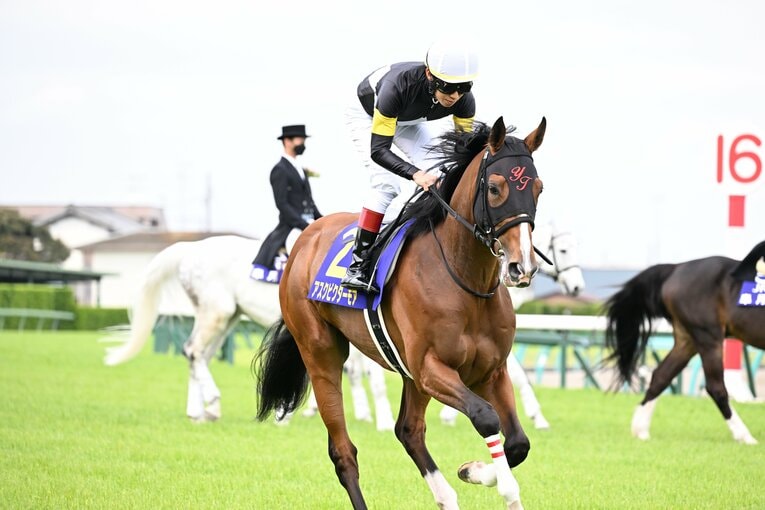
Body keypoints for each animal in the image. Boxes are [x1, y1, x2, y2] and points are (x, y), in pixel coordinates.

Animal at [102, 234, 394, 430]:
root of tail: (193, 248)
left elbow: (352, 372)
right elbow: (369, 376)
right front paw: (383, 421)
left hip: (225, 318)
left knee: (199, 357)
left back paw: (199, 412)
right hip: (216, 313)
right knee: (193, 351)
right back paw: (211, 402)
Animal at [254, 116, 547, 510]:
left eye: (539, 188)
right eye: (496, 188)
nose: (522, 267)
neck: (463, 277)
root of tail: (305, 239)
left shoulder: (490, 370)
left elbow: (518, 443)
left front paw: (473, 470)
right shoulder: (430, 368)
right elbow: (486, 418)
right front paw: (484, 474)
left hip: (406, 373)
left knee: (408, 430)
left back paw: (446, 496)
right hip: (321, 353)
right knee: (343, 452)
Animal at [604, 240, 765, 444]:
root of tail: (676, 268)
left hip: (687, 340)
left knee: (661, 376)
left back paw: (641, 430)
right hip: (707, 336)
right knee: (716, 387)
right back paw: (744, 436)